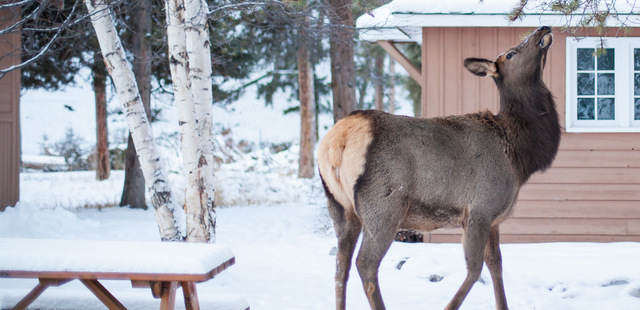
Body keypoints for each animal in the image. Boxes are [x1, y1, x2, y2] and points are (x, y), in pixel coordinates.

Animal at [318, 26, 560, 310]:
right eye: (511, 53)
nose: (542, 29)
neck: (519, 156)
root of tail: (338, 139)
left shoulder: (494, 218)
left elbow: (496, 265)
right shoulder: (480, 209)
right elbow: (475, 270)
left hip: (340, 207)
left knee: (340, 267)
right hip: (384, 204)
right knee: (365, 264)